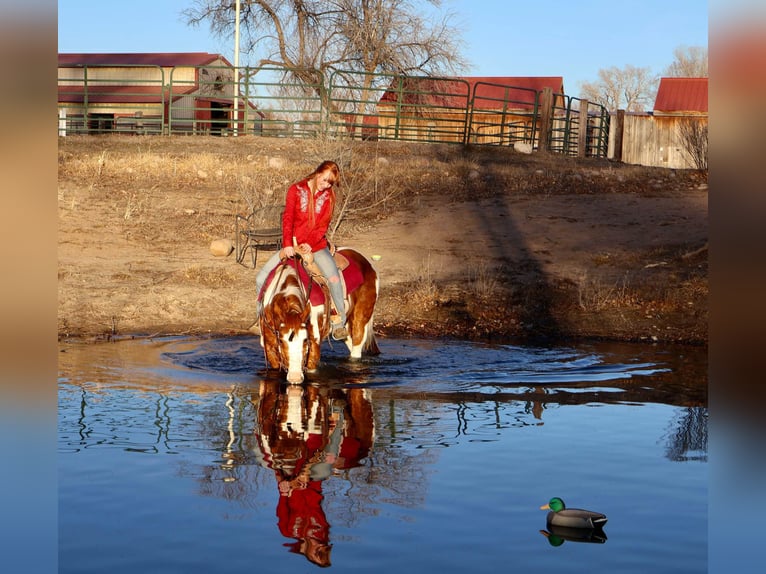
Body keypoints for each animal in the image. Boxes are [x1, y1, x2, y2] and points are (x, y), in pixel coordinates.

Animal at [256, 246, 380, 384]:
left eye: (305, 340)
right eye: (281, 341)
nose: (295, 377)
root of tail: (364, 261)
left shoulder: (314, 343)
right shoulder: (269, 346)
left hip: (361, 318)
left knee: (357, 347)